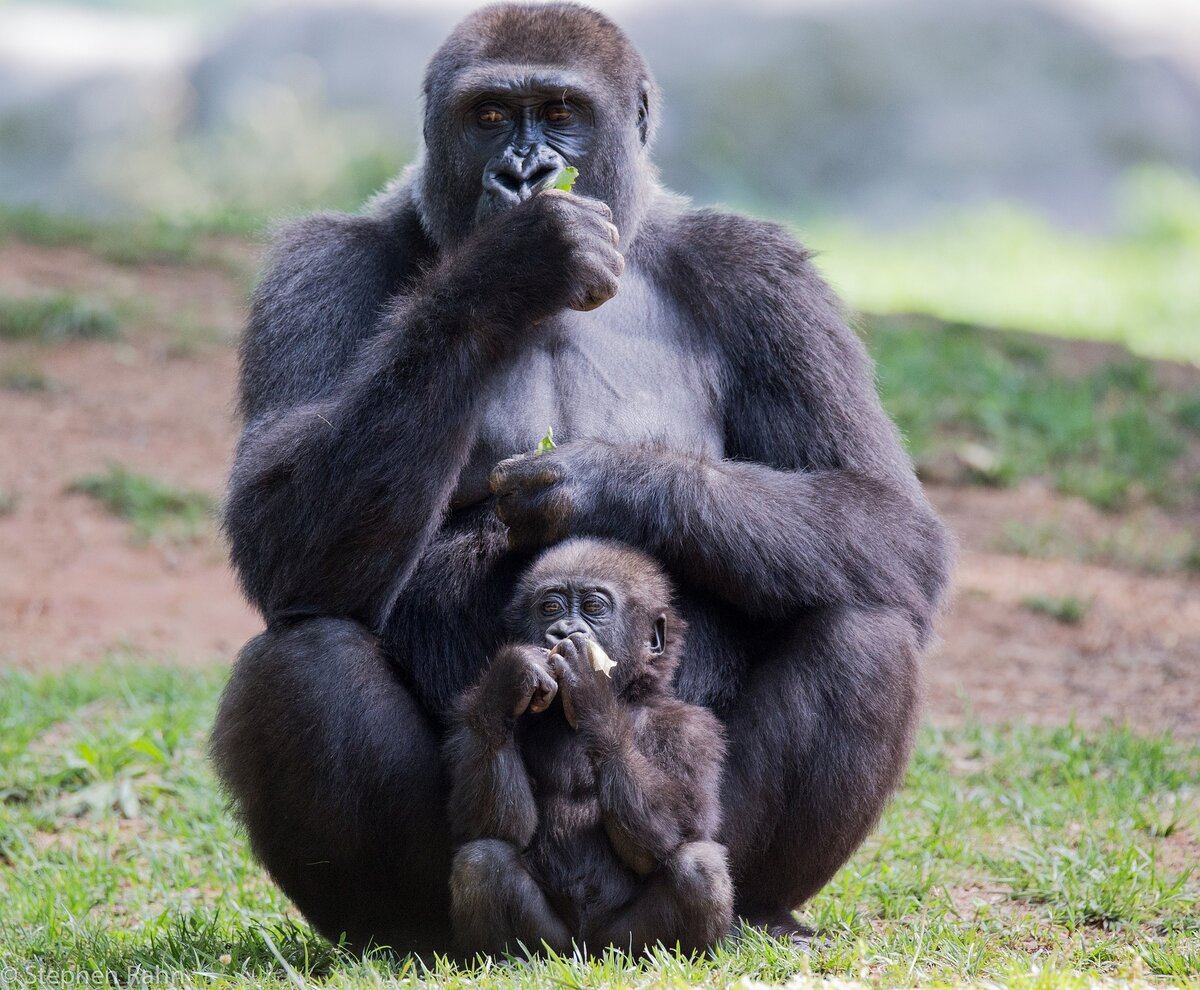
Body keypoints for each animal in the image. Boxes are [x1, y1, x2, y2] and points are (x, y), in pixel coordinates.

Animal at [448, 532, 734, 960]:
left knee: (698, 867)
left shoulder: (693, 730)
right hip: (554, 944)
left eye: (594, 607)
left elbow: (680, 828)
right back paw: (505, 960)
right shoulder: (472, 717)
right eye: (550, 607)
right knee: (482, 860)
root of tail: (586, 952)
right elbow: (494, 824)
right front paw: (511, 677)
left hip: (620, 944)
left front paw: (591, 693)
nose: (562, 630)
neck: (630, 694)